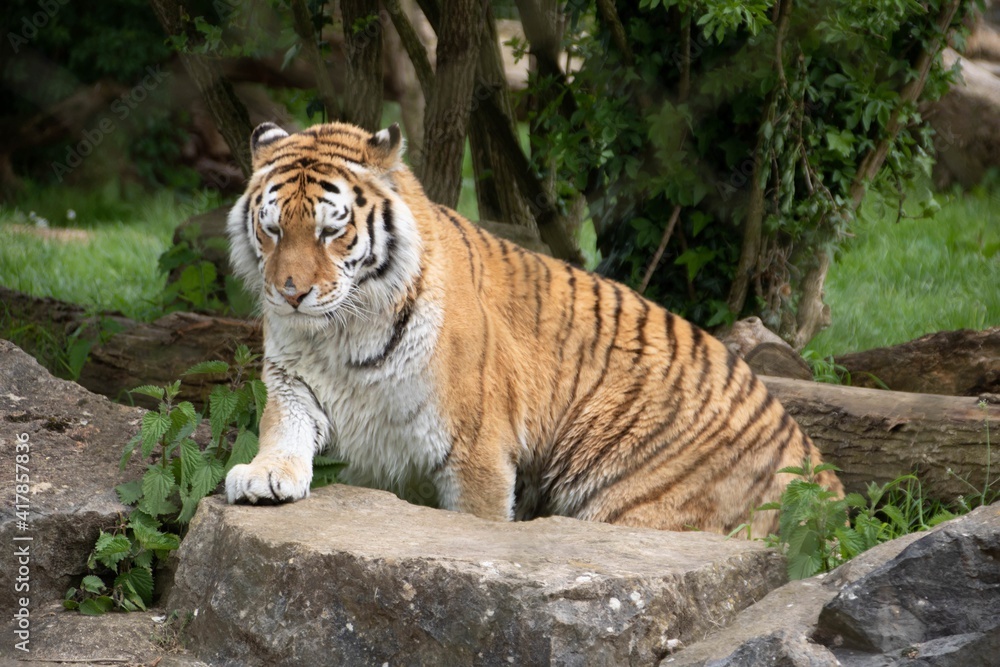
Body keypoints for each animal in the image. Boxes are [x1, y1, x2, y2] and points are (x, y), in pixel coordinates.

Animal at [224, 120, 843, 537]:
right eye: (273, 228)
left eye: (331, 232)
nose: (291, 293)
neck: (339, 334)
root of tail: (821, 476)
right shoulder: (292, 383)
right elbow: (283, 430)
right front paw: (264, 478)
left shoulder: (474, 445)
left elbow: (480, 517)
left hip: (638, 499)